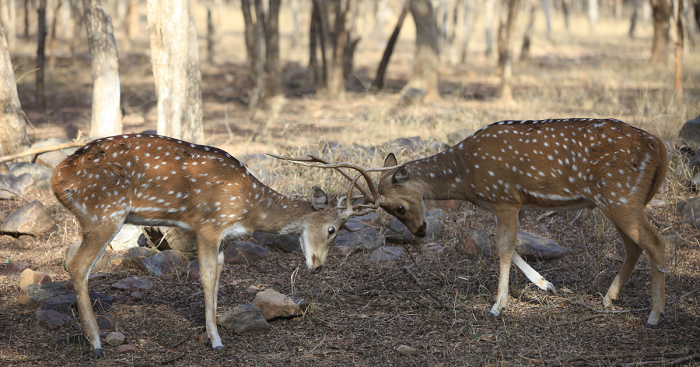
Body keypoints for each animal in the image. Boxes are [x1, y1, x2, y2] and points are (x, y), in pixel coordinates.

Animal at [52, 134, 370, 356]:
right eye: (331, 230)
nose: (318, 265)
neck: (248, 207)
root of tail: (57, 179)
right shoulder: (208, 225)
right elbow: (205, 276)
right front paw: (216, 342)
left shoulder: (222, 238)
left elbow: (218, 275)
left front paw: (213, 331)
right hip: (104, 213)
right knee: (77, 266)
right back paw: (96, 344)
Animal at [274, 118, 668, 328]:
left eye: (399, 207)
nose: (420, 232)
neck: (467, 178)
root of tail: (660, 147)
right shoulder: (500, 203)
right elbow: (505, 244)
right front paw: (545, 285)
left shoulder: (506, 197)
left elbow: (504, 246)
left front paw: (498, 306)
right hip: (617, 201)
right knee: (635, 245)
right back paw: (609, 299)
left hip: (620, 195)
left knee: (655, 241)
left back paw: (653, 315)